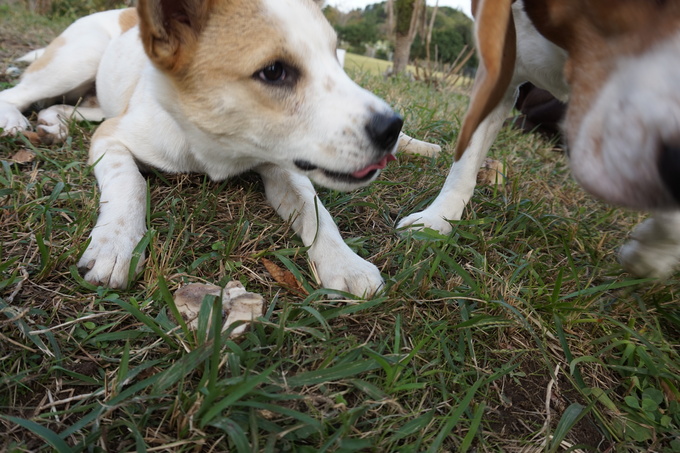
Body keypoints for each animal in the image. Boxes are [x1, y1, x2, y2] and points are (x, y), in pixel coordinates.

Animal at [0, 0, 404, 294]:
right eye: (274, 71)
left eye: (335, 57)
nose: (393, 128)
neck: (216, 144)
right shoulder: (111, 137)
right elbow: (130, 184)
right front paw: (116, 245)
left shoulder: (283, 166)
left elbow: (316, 210)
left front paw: (345, 262)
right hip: (77, 61)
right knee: (17, 93)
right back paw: (14, 120)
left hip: (95, 99)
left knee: (64, 105)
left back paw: (53, 122)